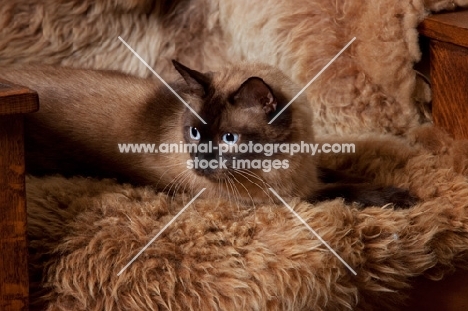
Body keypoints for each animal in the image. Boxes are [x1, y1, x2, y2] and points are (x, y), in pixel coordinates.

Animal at [0, 62, 416, 208]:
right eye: (195, 132)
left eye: (229, 139)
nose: (200, 162)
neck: (285, 167)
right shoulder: (283, 200)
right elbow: (342, 190)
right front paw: (399, 198)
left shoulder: (308, 174)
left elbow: (344, 175)